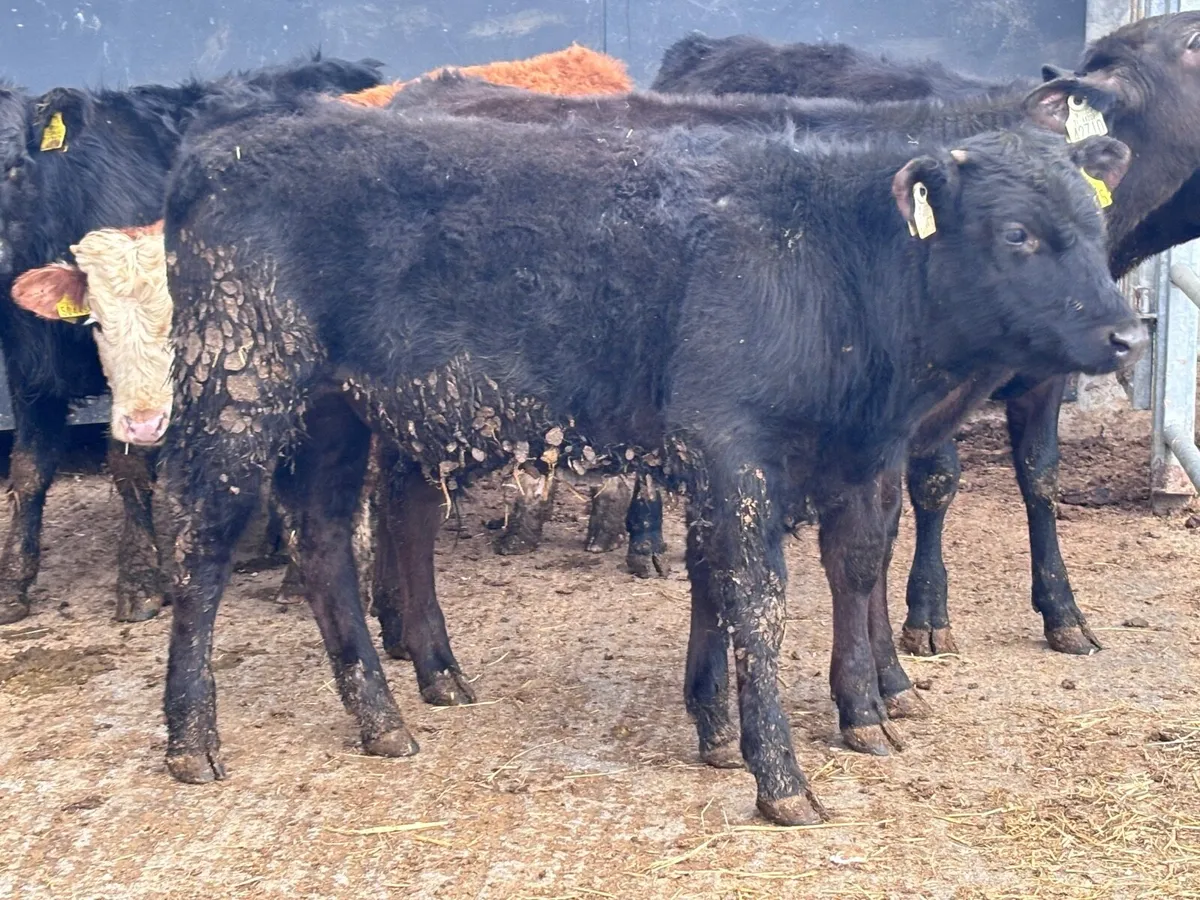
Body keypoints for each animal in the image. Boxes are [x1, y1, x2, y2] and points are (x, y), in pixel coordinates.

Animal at [0, 53, 385, 626]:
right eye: (97, 323)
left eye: (13, 165)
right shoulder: (30, 371)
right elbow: (28, 470)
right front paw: (12, 583)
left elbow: (126, 462)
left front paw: (138, 580)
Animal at [148, 86, 1139, 825]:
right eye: (1017, 234)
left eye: (1096, 227)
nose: (1129, 335)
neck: (829, 265)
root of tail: (221, 145)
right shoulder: (734, 446)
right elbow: (757, 597)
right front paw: (778, 775)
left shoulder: (854, 459)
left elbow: (846, 569)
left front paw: (842, 712)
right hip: (241, 390)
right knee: (203, 548)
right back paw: (192, 738)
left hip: (341, 413)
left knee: (327, 542)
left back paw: (385, 714)